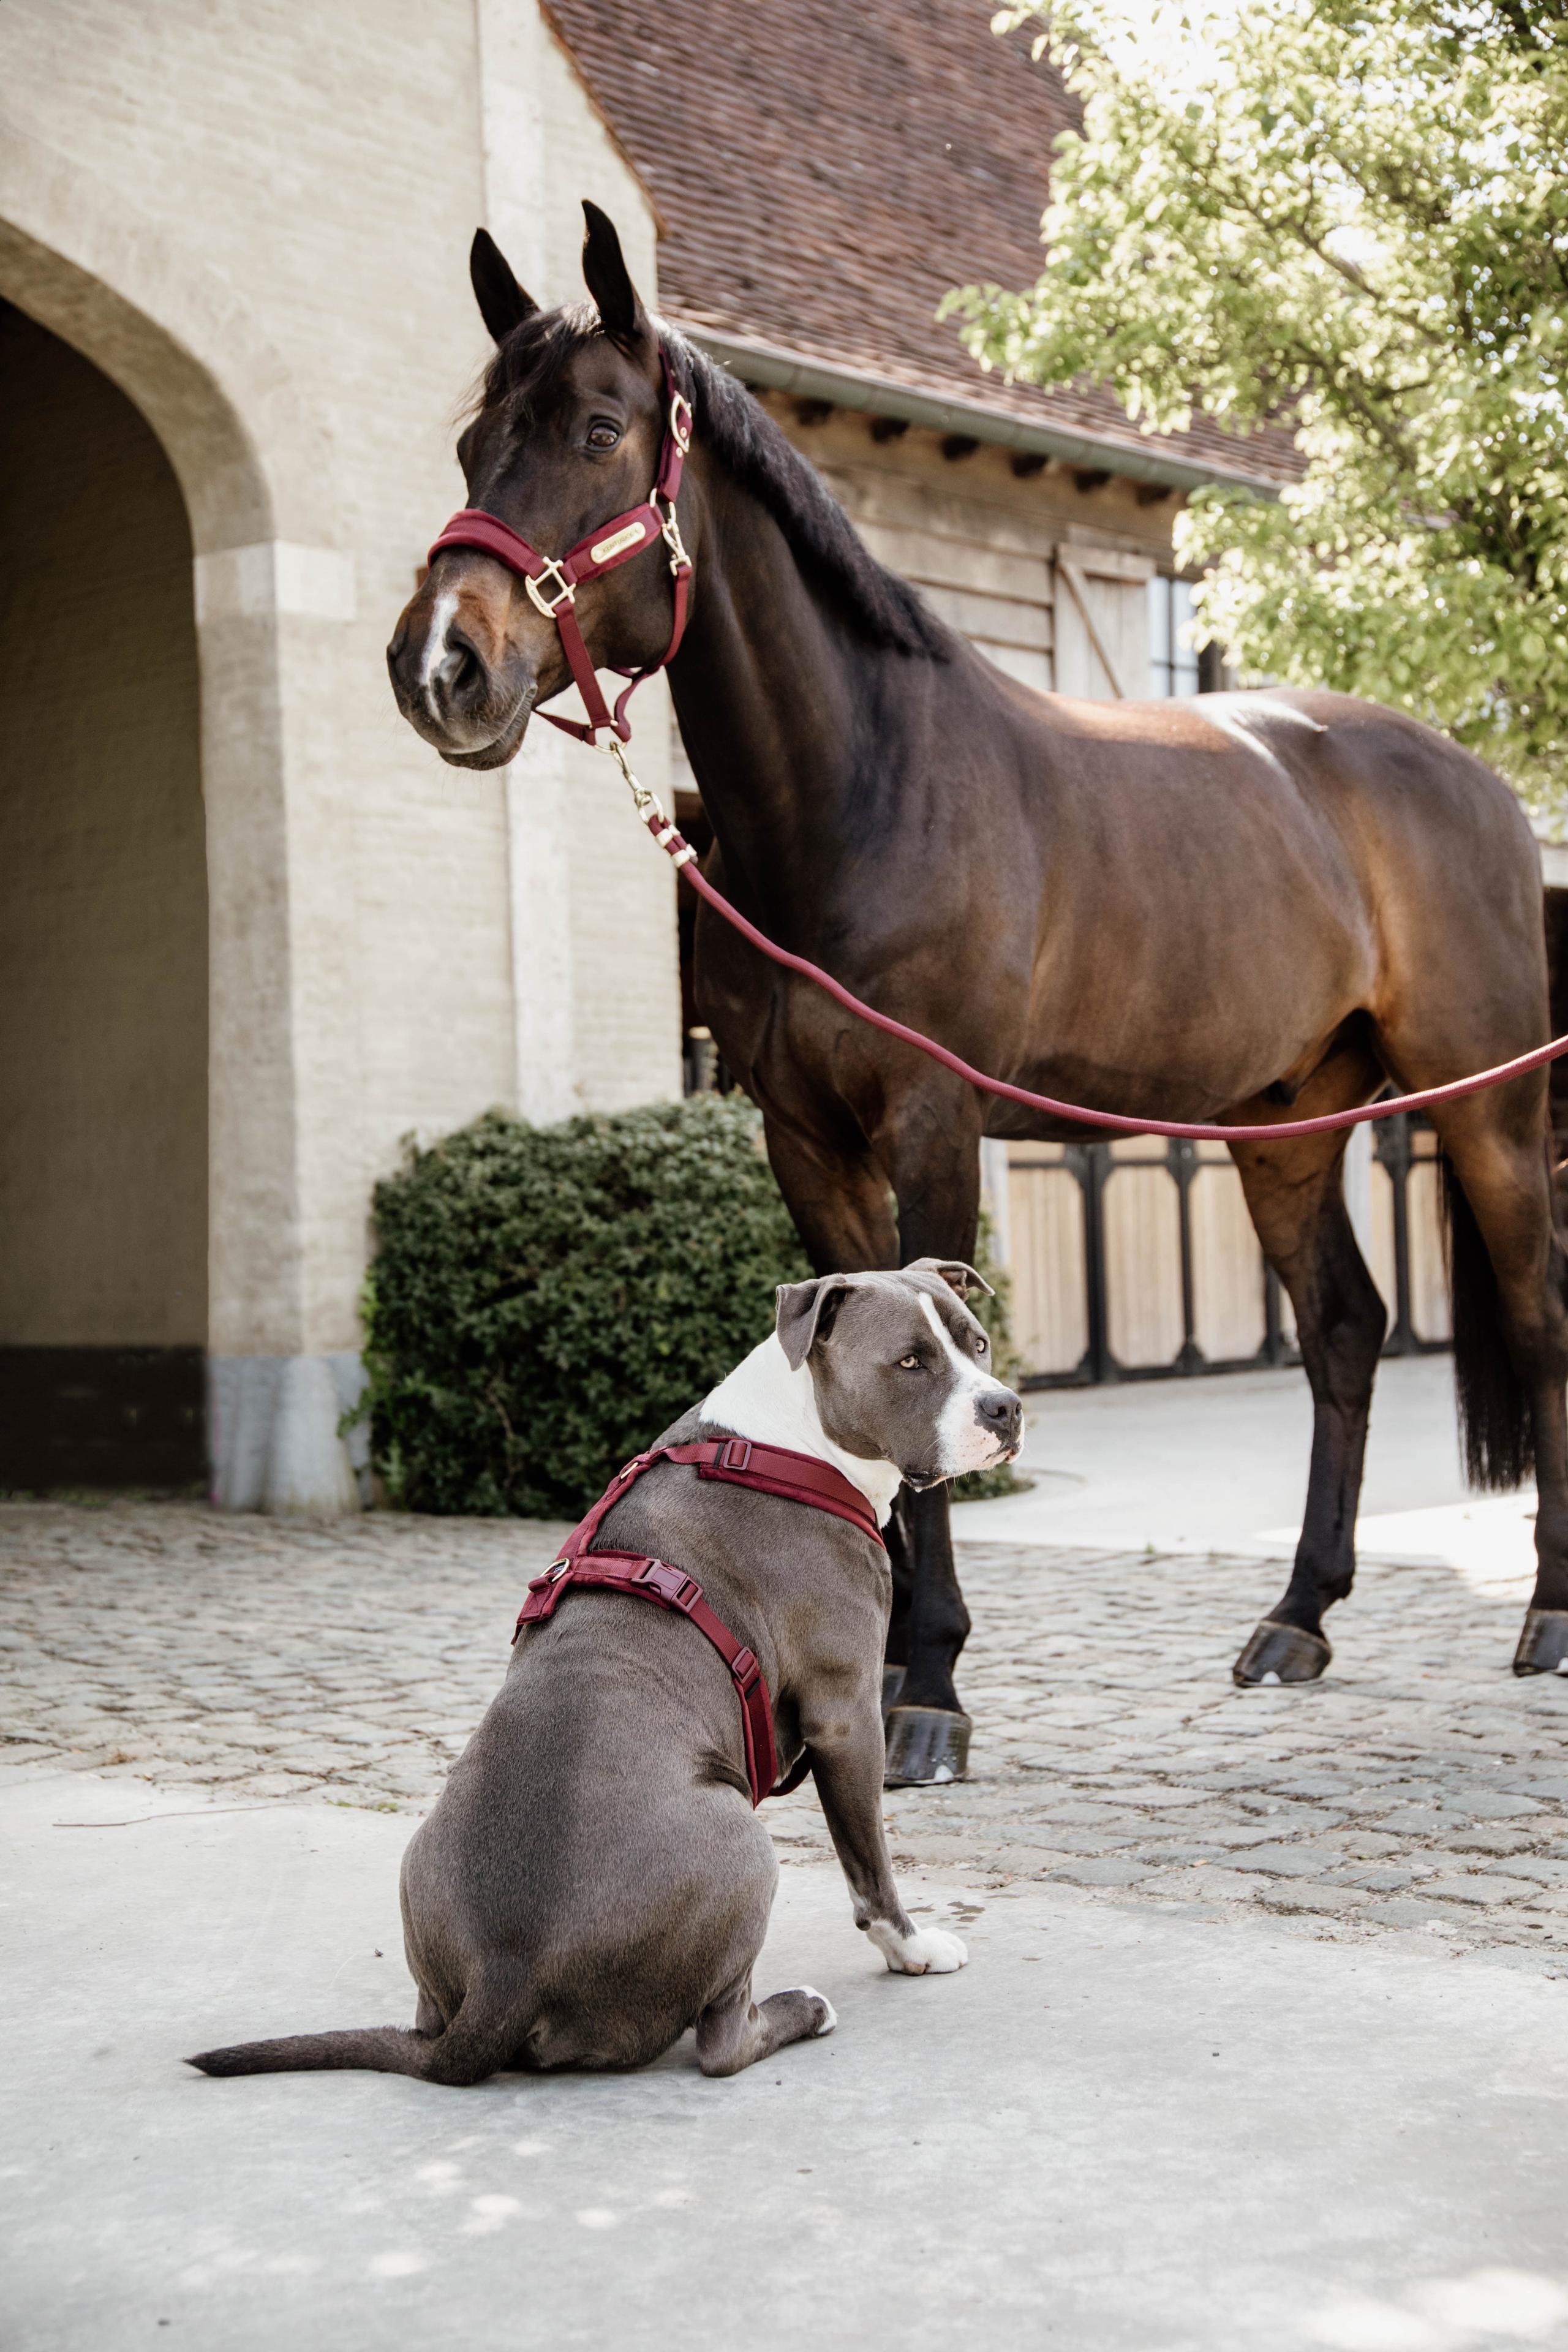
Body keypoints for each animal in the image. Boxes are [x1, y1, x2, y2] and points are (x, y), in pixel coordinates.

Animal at [387, 201, 1568, 1785]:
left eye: (592, 429)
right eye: (471, 446)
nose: (440, 665)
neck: (866, 791)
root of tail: (1478, 784)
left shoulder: (932, 1121)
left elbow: (929, 1365)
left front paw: (930, 1688)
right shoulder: (804, 1141)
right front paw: (883, 1658)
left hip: (1483, 1105)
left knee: (1537, 1317)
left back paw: (1545, 1614)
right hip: (1285, 1126)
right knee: (1339, 1328)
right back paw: (1294, 1619)